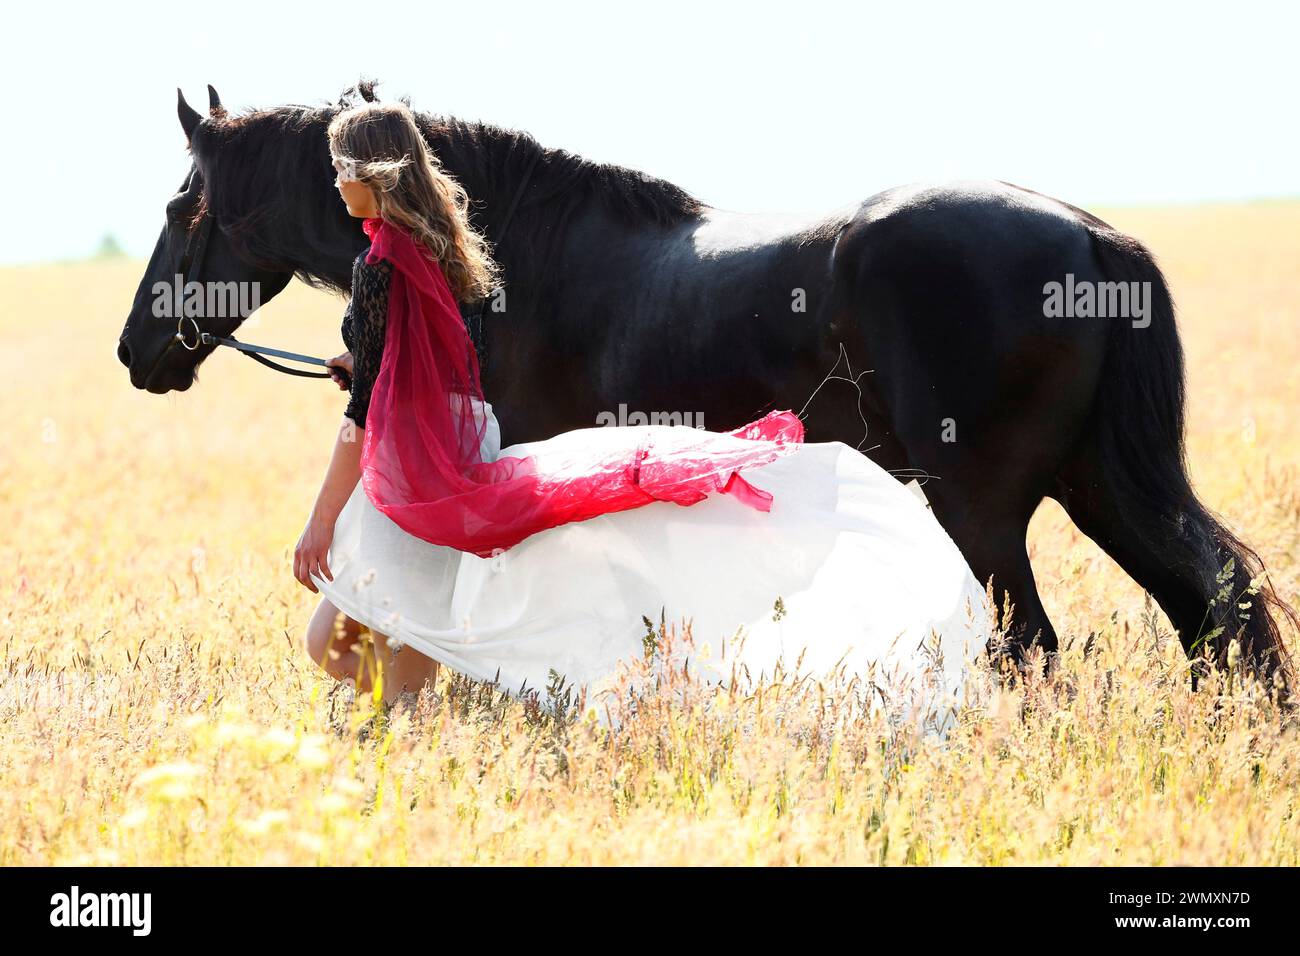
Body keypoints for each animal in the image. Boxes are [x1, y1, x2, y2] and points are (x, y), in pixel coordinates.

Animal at [116, 82, 1294, 686]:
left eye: (180, 208)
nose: (135, 351)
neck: (513, 258)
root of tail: (1093, 239)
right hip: (1097, 488)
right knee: (1215, 611)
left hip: (984, 507)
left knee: (1035, 646)